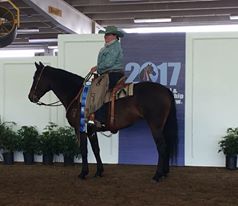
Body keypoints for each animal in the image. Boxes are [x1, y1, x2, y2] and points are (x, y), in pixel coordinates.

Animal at [27, 61, 178, 182]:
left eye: (35, 78)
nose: (30, 97)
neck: (76, 95)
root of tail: (166, 90)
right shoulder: (91, 130)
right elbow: (96, 149)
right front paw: (99, 172)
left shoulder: (80, 129)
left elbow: (84, 150)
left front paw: (83, 173)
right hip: (162, 126)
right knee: (166, 146)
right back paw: (164, 173)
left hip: (155, 126)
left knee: (162, 147)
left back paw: (157, 175)